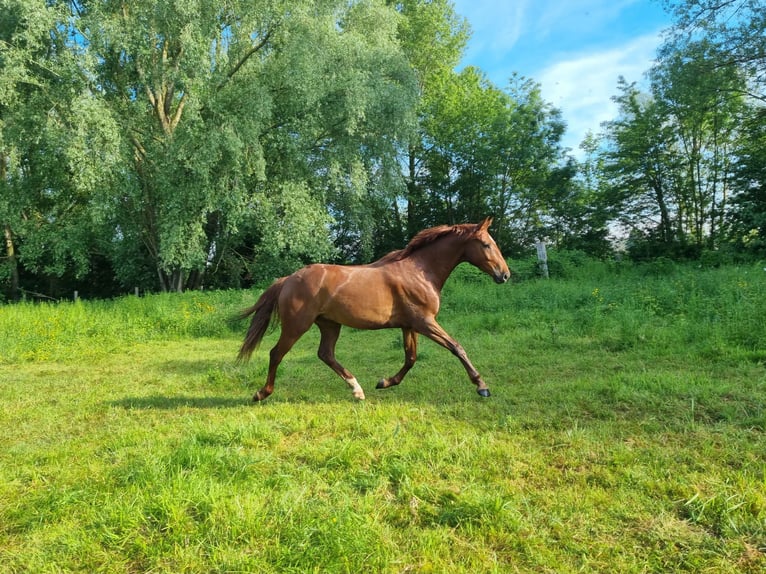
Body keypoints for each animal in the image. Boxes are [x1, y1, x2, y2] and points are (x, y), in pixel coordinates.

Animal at [238, 218, 510, 402]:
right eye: (486, 244)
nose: (505, 275)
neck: (420, 272)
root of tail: (288, 279)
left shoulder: (409, 325)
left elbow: (411, 358)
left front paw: (385, 382)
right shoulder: (424, 322)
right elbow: (456, 347)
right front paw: (482, 386)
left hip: (329, 324)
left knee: (325, 354)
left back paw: (357, 390)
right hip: (297, 325)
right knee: (276, 353)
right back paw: (261, 393)